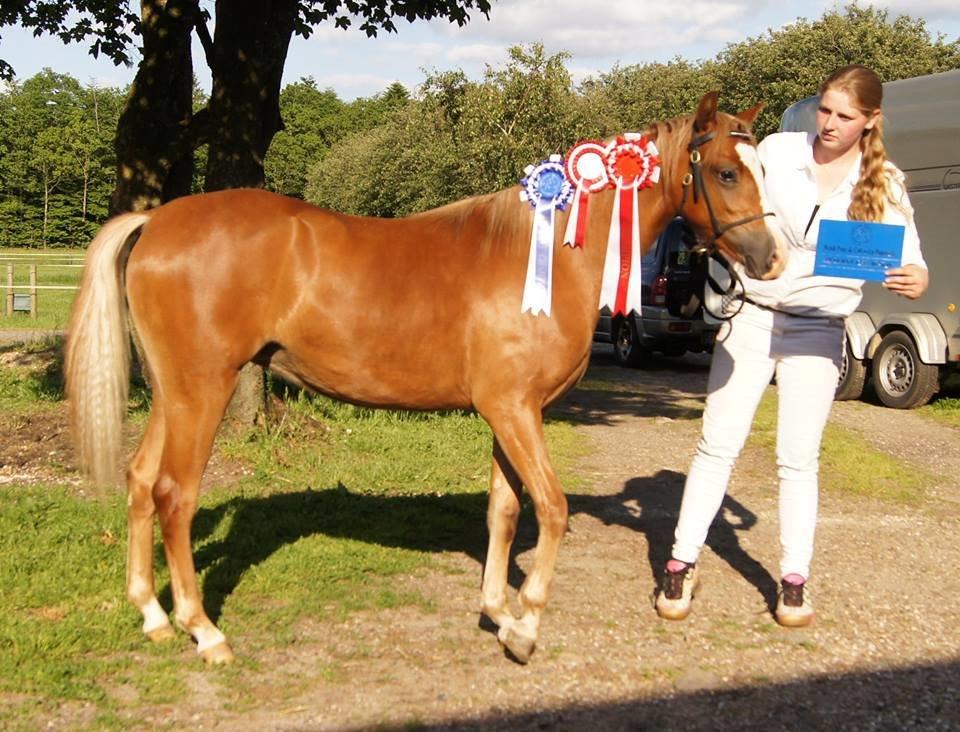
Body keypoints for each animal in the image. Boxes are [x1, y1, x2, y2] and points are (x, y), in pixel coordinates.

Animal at [65, 91, 785, 665]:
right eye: (725, 171)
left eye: (762, 170)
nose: (772, 259)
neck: (544, 254)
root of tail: (157, 220)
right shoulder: (514, 410)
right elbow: (551, 510)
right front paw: (526, 625)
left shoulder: (511, 413)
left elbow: (504, 512)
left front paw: (498, 613)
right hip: (202, 391)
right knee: (174, 496)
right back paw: (203, 631)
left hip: (174, 394)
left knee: (139, 481)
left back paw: (153, 617)